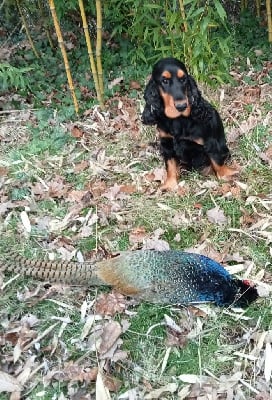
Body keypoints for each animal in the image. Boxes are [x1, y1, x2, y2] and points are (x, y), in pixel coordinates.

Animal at [141, 56, 237, 192]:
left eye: (183, 79)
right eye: (164, 80)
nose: (182, 106)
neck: (177, 120)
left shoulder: (210, 143)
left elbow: (217, 161)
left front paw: (226, 175)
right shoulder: (167, 143)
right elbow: (170, 165)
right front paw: (170, 184)